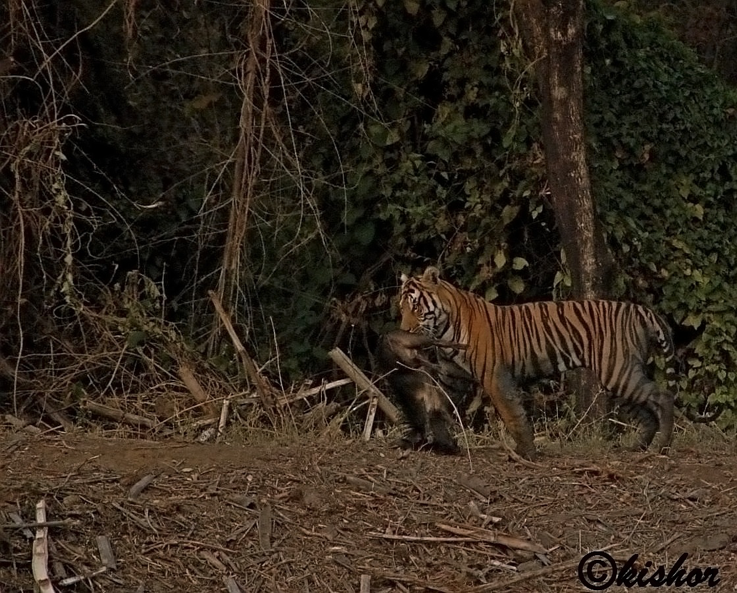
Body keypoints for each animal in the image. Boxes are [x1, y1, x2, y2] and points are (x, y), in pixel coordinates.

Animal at [396, 266, 680, 460]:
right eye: (402, 308)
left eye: (417, 307)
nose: (404, 331)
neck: (443, 331)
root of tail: (640, 309)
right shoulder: (451, 376)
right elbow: (435, 402)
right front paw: (439, 441)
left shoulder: (494, 377)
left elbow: (513, 415)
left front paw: (527, 452)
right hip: (618, 378)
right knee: (647, 412)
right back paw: (638, 447)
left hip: (618, 372)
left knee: (663, 396)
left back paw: (661, 446)